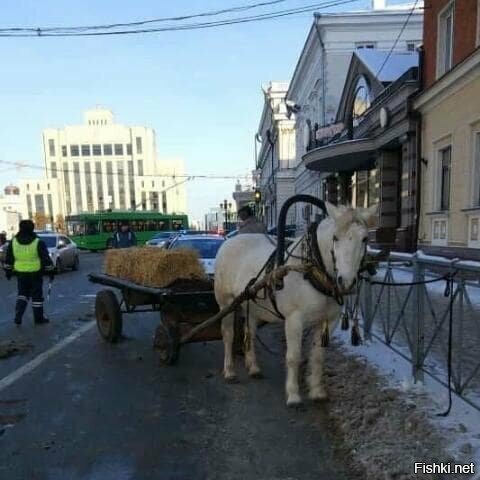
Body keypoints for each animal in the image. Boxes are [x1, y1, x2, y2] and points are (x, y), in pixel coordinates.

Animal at [214, 202, 376, 404]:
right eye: (335, 238)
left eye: (364, 239)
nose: (346, 282)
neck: (311, 270)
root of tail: (228, 242)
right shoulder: (294, 320)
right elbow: (293, 356)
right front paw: (293, 395)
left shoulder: (329, 321)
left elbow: (318, 356)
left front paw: (317, 391)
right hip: (226, 303)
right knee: (228, 334)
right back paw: (229, 371)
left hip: (252, 304)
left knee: (249, 332)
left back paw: (253, 367)